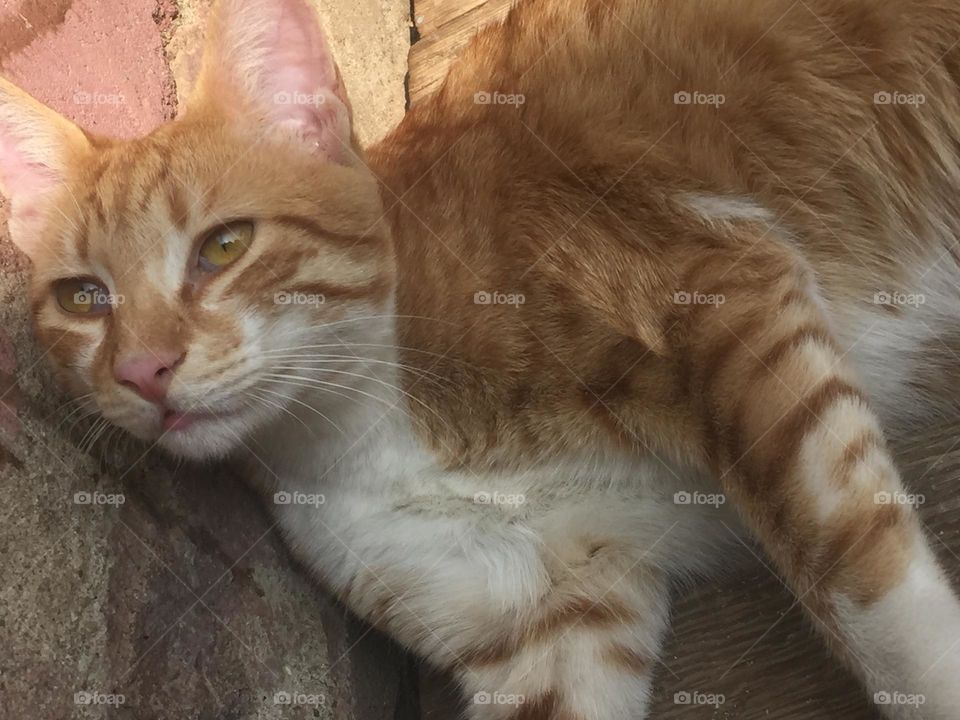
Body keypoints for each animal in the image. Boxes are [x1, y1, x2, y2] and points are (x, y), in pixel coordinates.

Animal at [1, 0, 960, 716]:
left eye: (223, 247)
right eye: (84, 298)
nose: (142, 372)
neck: (364, 436)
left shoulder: (716, 297)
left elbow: (866, 590)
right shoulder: (550, 629)